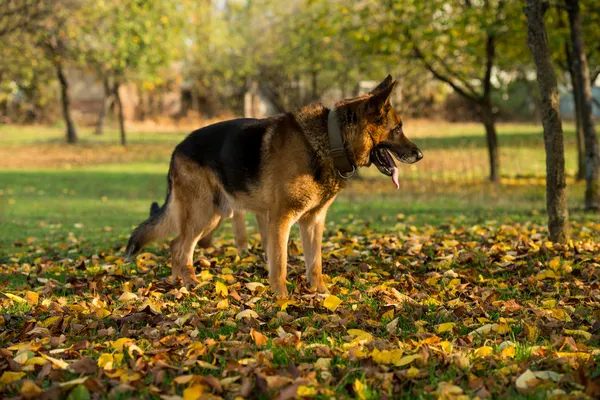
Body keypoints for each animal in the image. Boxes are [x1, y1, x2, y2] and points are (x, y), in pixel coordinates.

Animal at [125, 76, 422, 296]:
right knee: (182, 247)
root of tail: (177, 148)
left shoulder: (313, 221)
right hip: (203, 214)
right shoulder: (280, 220)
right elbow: (279, 264)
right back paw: (189, 283)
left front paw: (322, 294)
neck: (329, 139)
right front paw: (282, 299)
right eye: (398, 128)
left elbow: (315, 263)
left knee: (175, 244)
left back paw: (177, 283)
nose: (419, 155)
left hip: (214, 216)